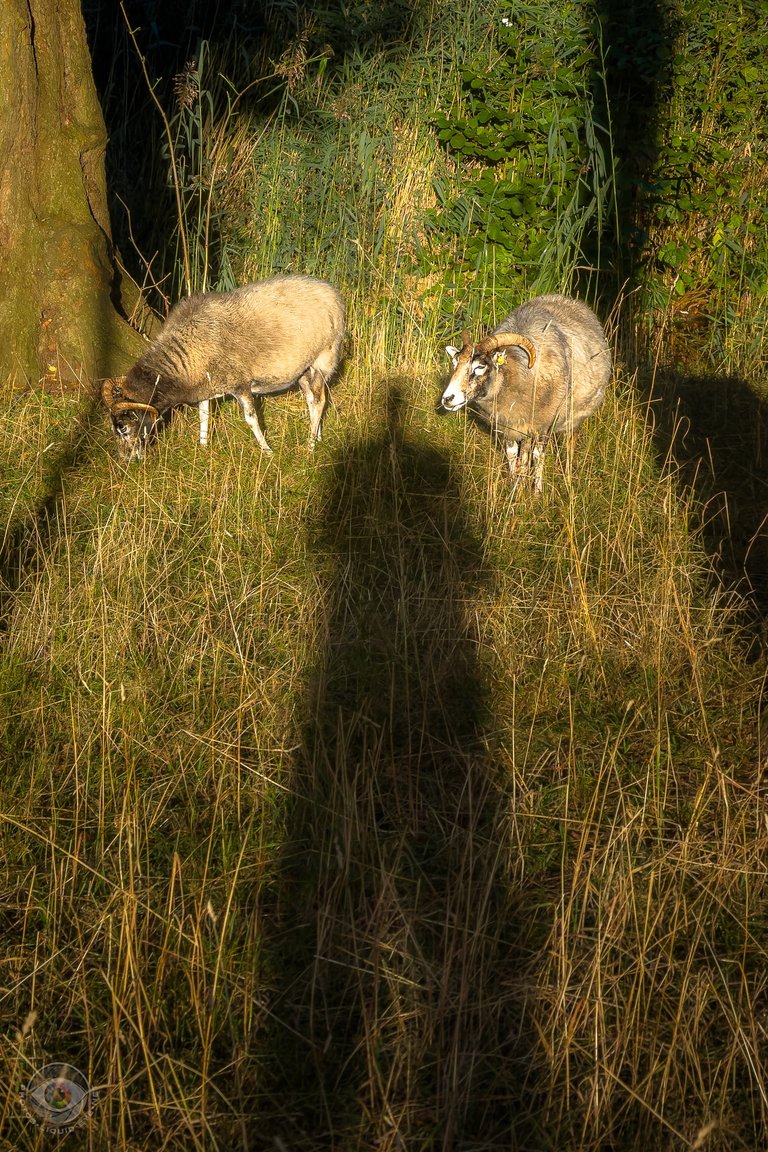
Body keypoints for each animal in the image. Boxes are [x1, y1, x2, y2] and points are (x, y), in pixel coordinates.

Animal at [101, 274, 345, 460]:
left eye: (123, 428)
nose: (126, 460)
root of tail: (332, 291)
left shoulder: (241, 385)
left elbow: (251, 418)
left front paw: (267, 451)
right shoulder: (205, 387)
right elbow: (204, 416)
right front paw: (203, 448)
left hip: (323, 359)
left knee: (320, 401)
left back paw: (310, 446)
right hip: (303, 370)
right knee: (312, 400)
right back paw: (317, 436)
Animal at [441, 293, 611, 491]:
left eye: (480, 367)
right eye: (455, 363)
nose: (447, 399)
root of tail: (567, 299)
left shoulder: (543, 424)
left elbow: (538, 456)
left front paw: (537, 491)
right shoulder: (509, 425)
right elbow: (512, 453)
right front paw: (514, 485)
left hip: (575, 416)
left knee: (569, 442)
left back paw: (568, 477)